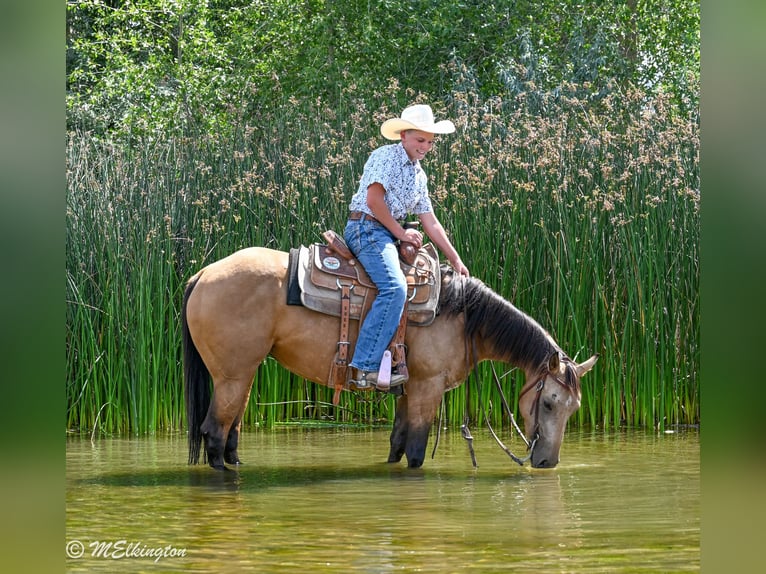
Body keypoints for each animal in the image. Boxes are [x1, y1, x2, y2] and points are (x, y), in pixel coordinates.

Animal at [182, 246, 598, 471]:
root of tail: (203, 274)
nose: (547, 462)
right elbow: (415, 449)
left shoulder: (407, 389)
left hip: (244, 375)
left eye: (574, 409)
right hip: (232, 377)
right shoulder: (428, 388)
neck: (461, 316)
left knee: (231, 434)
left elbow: (397, 444)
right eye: (549, 402)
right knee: (215, 433)